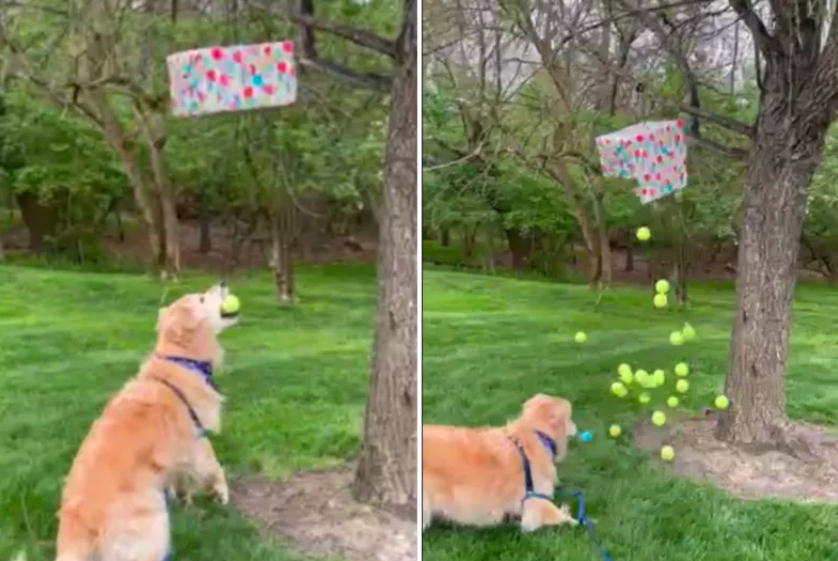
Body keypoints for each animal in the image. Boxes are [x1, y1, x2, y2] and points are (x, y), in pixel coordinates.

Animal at [55, 284, 240, 560]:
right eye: (201, 299)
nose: (222, 282)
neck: (182, 359)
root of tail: (79, 521)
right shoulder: (196, 440)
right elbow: (214, 465)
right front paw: (221, 492)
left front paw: (184, 499)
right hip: (154, 526)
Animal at [424, 392, 580, 532]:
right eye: (570, 418)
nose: (577, 428)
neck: (536, 434)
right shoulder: (536, 503)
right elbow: (566, 518)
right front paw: (573, 520)